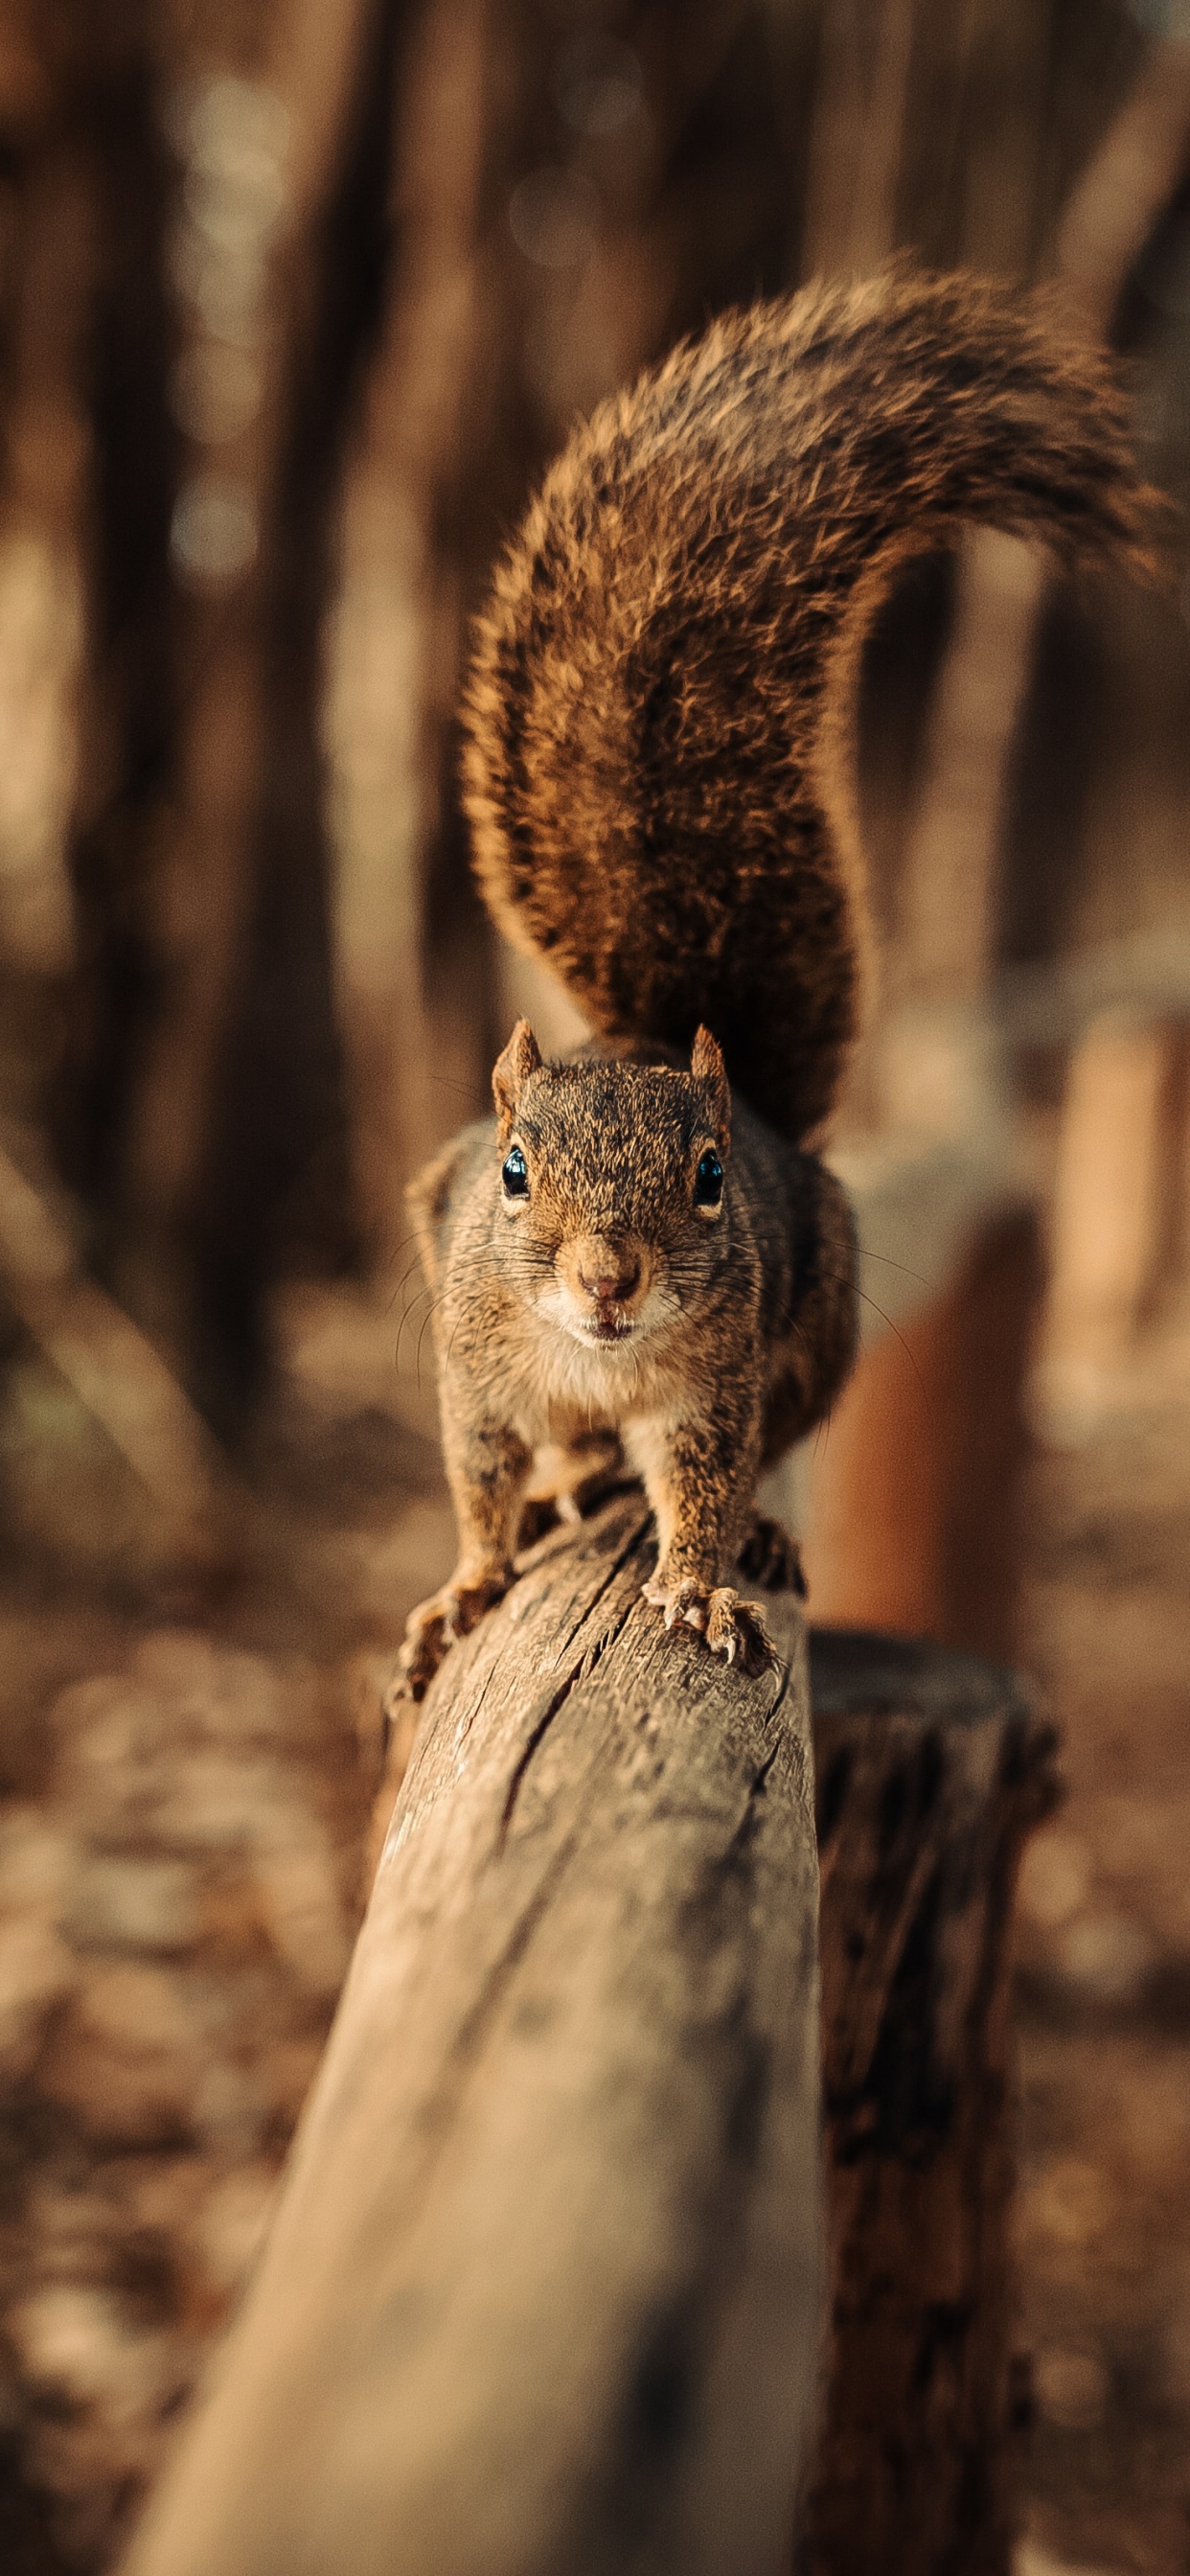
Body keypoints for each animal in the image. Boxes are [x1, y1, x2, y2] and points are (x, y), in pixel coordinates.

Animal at [393, 265, 1151, 1703]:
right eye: (512, 1172)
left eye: (706, 1177)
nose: (609, 1279)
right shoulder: (474, 1374)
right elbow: (476, 1483)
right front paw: (463, 1586)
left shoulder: (715, 1387)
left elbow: (702, 1486)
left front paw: (697, 1584)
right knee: (559, 1464)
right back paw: (568, 1486)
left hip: (823, 1315)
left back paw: (752, 1538)